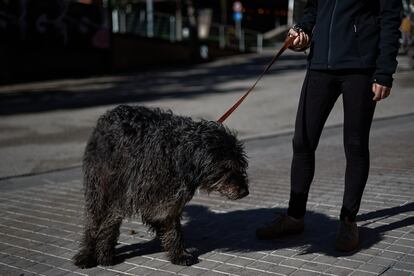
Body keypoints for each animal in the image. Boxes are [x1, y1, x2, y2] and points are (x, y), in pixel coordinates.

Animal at [73, 105, 249, 268]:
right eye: (226, 168)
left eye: (241, 165)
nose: (245, 192)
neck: (179, 153)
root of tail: (110, 114)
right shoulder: (130, 194)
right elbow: (110, 222)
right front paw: (104, 255)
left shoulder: (167, 200)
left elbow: (170, 225)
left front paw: (178, 254)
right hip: (99, 187)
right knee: (93, 221)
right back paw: (86, 255)